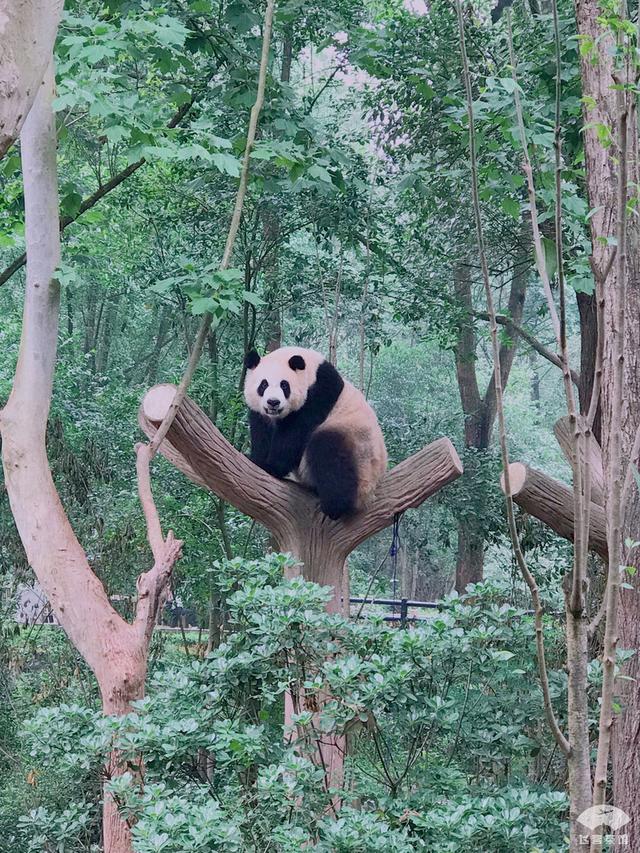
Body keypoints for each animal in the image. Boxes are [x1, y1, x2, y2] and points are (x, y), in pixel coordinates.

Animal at [244, 346, 384, 520]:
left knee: (327, 450)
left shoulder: (318, 394)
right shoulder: (261, 414)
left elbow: (294, 434)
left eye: (284, 386)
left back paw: (335, 506)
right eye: (263, 385)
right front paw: (256, 459)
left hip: (359, 449)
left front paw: (271, 466)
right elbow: (261, 430)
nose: (273, 402)